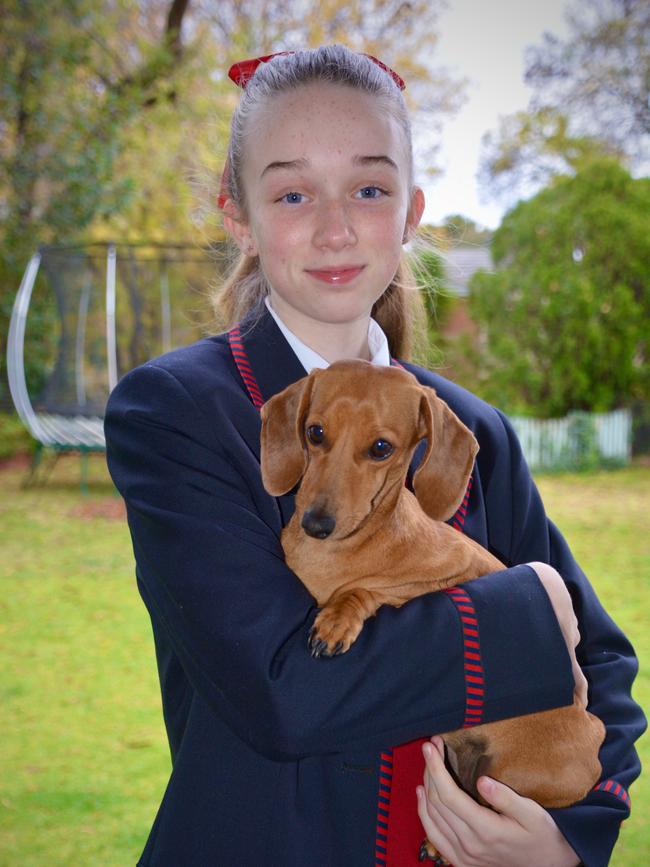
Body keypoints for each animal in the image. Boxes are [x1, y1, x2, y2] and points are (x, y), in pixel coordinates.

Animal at [258, 358, 604, 860]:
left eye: (381, 448)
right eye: (314, 432)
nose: (316, 523)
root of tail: (596, 739)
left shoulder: (450, 570)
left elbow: (371, 590)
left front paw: (338, 618)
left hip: (513, 772)